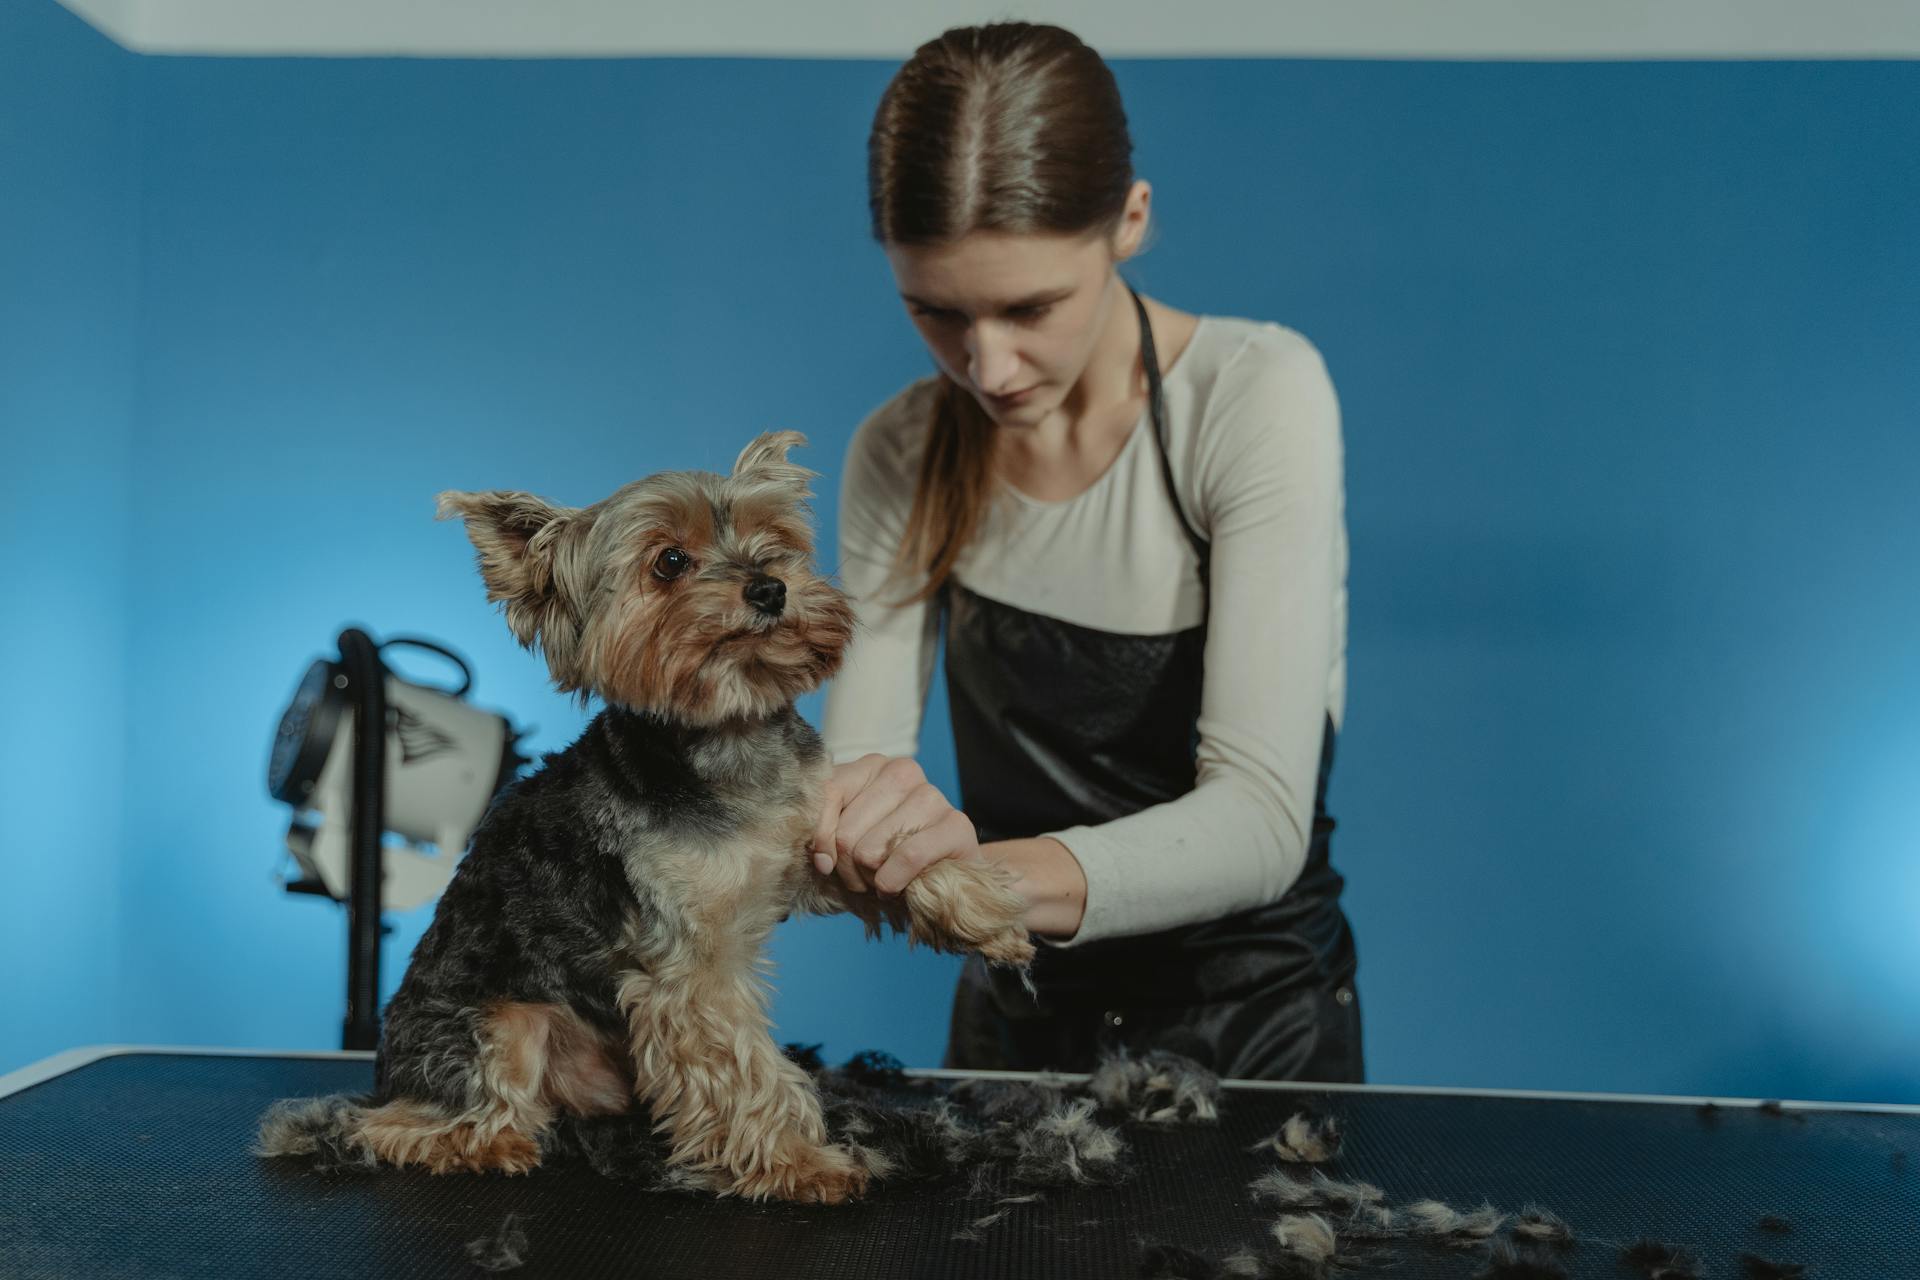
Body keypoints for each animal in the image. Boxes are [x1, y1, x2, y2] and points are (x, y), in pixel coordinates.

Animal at [259, 435, 1036, 1205]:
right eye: (670, 561)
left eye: (777, 539)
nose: (769, 587)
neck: (727, 737)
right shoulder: (688, 965)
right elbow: (742, 1064)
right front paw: (795, 1161)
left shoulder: (811, 841)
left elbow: (892, 845)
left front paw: (982, 914)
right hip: (501, 1024)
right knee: (404, 1122)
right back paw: (491, 1144)